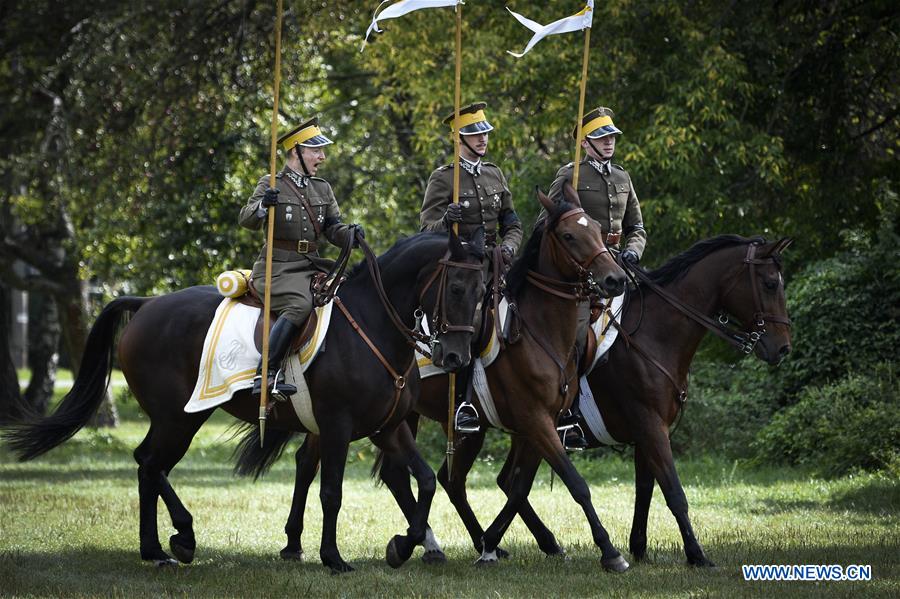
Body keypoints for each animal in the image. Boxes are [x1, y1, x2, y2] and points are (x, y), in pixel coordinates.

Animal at [3, 232, 488, 576]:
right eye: (457, 288)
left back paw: (157, 548)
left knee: (147, 464)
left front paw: (402, 546)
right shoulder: (337, 427)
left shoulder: (389, 427)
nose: (455, 358)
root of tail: (147, 303)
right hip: (179, 419)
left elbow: (426, 480)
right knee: (150, 464)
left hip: (178, 419)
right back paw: (180, 538)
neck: (371, 326)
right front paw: (333, 557)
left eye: (484, 291)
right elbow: (332, 492)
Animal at [239, 188, 632, 572]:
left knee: (322, 462)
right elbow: (572, 483)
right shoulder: (534, 421)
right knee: (411, 476)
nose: (615, 278)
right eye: (569, 235)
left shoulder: (537, 425)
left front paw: (505, 541)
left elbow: (518, 486)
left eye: (597, 231)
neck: (539, 330)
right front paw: (609, 551)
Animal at [380, 233, 796, 568]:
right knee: (447, 480)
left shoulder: (644, 430)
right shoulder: (649, 425)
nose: (782, 347)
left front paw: (639, 547)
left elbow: (645, 488)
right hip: (463, 424)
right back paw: (447, 544)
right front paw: (695, 554)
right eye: (770, 283)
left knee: (465, 481)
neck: (655, 334)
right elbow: (674, 492)